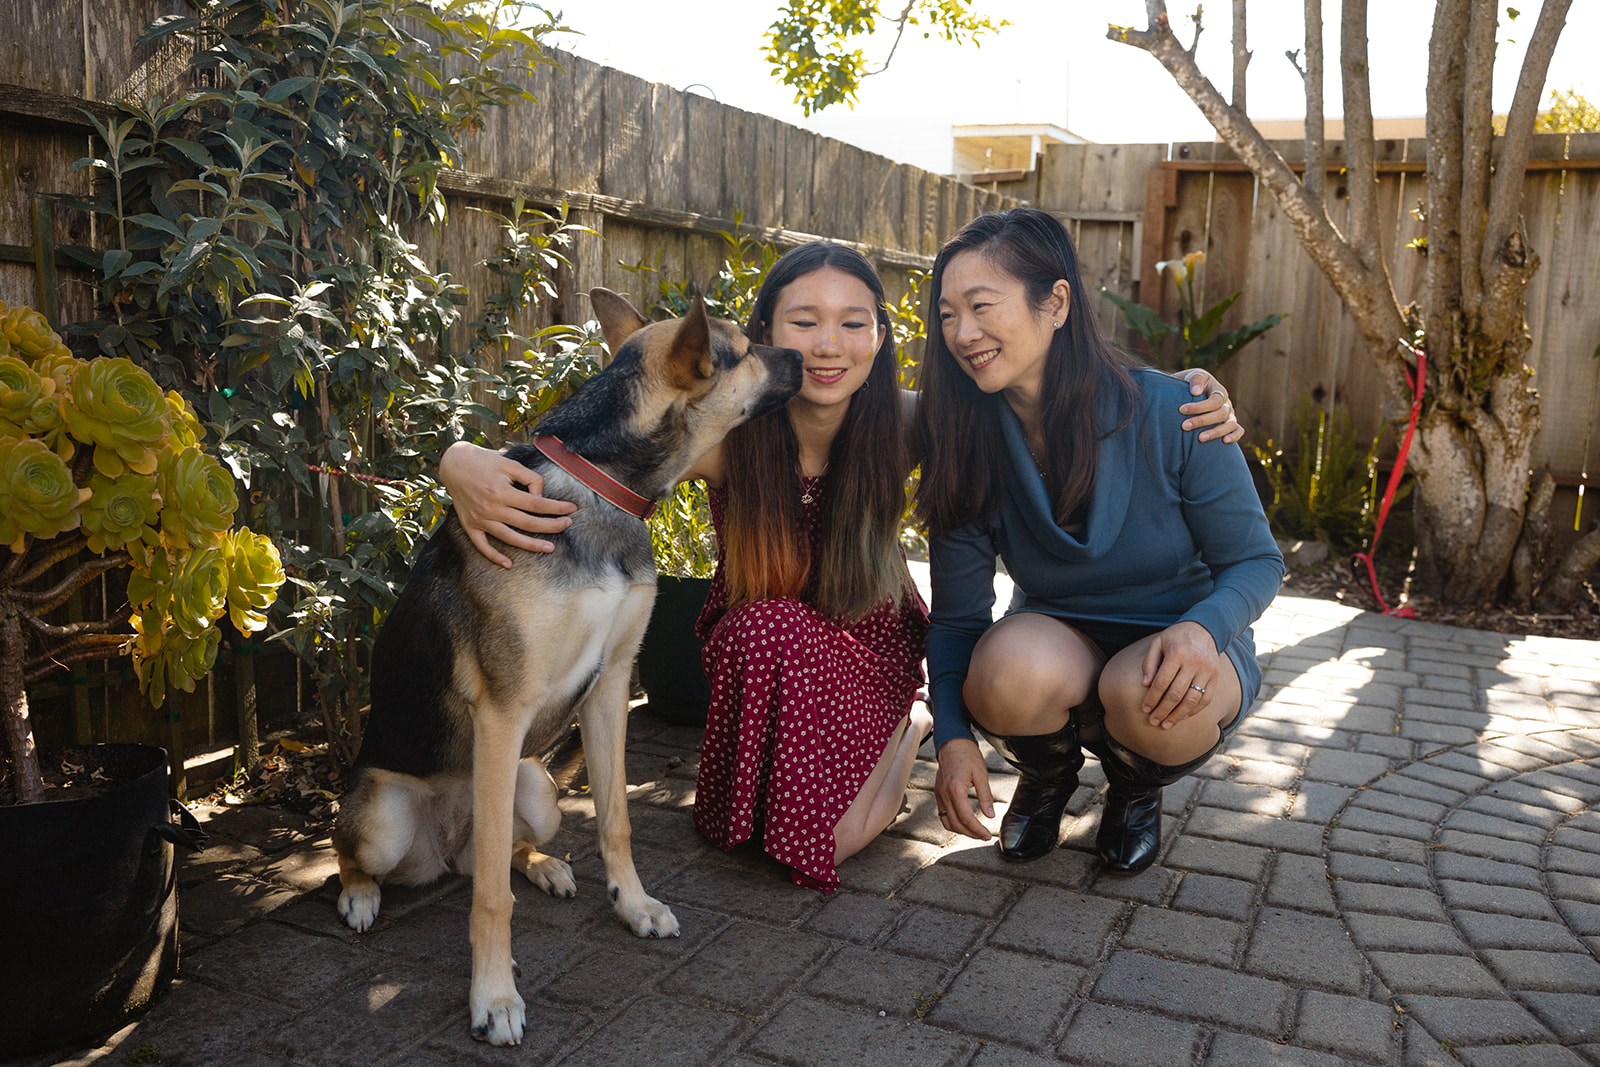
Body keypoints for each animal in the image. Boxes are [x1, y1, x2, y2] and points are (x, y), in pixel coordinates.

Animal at [329, 287, 800, 1049]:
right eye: (747, 347)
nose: (804, 356)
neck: (602, 485)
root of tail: (446, 845)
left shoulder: (609, 687)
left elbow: (617, 822)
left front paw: (632, 905)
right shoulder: (504, 710)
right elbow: (491, 898)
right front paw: (494, 997)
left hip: (537, 790)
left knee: (505, 850)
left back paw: (546, 866)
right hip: (385, 816)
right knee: (372, 853)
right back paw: (360, 894)